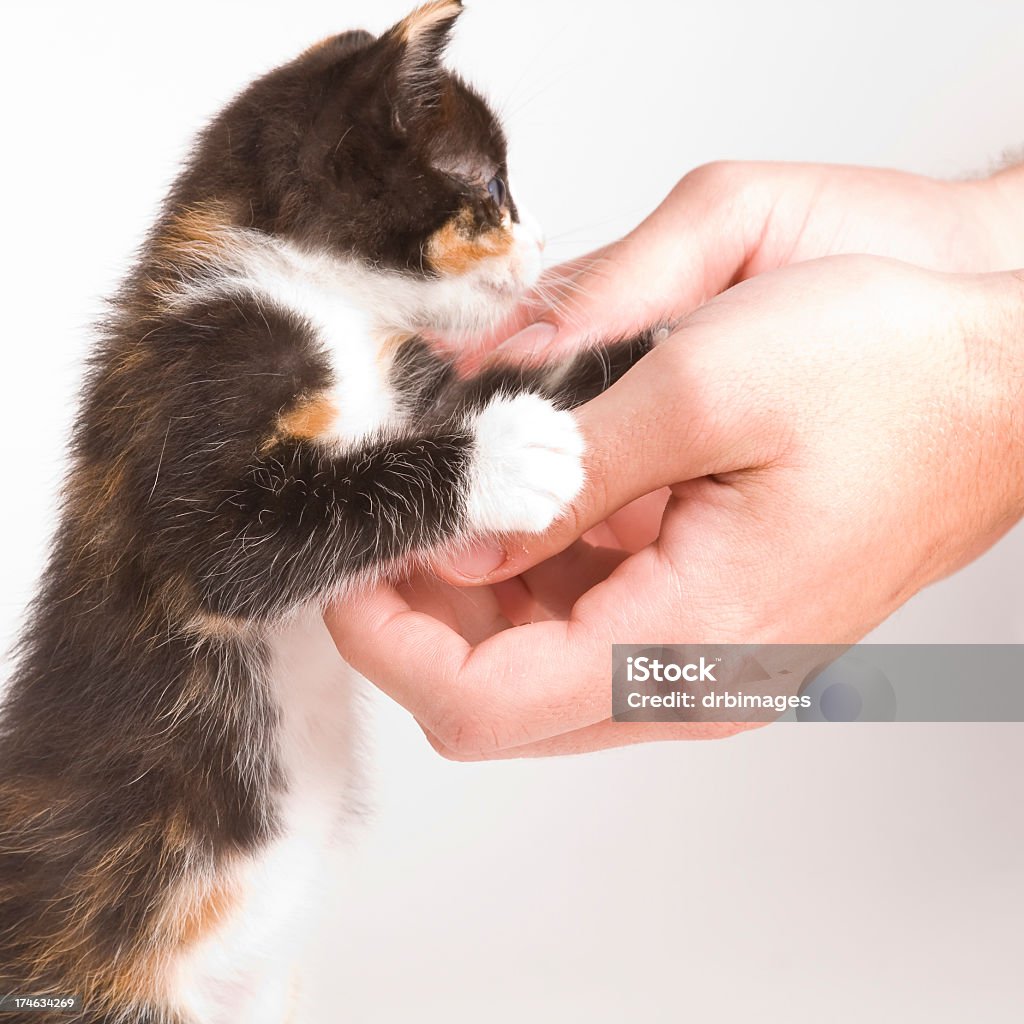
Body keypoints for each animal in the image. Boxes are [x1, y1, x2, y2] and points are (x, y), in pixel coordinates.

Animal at [0, 4, 655, 1019]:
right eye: (494, 188)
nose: (544, 241)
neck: (316, 298)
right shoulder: (201, 385)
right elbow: (243, 548)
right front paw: (509, 455)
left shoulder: (411, 380)